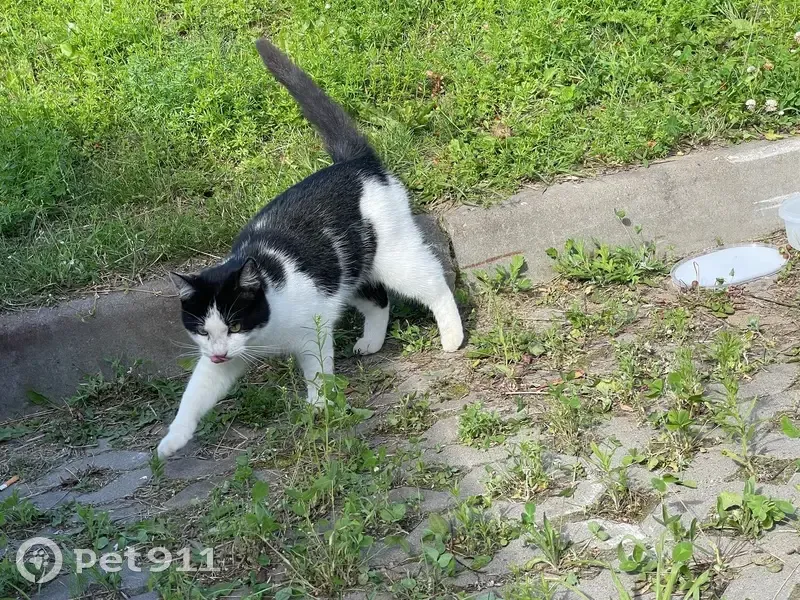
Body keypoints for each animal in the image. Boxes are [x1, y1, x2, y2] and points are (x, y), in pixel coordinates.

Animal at [156, 38, 464, 458]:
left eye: (235, 323)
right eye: (203, 332)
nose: (219, 351)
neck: (265, 330)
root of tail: (355, 163)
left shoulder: (311, 332)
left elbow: (318, 372)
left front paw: (319, 407)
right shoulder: (226, 359)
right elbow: (195, 394)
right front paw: (171, 440)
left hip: (395, 257)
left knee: (433, 284)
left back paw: (453, 336)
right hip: (347, 270)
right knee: (378, 299)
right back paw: (371, 341)